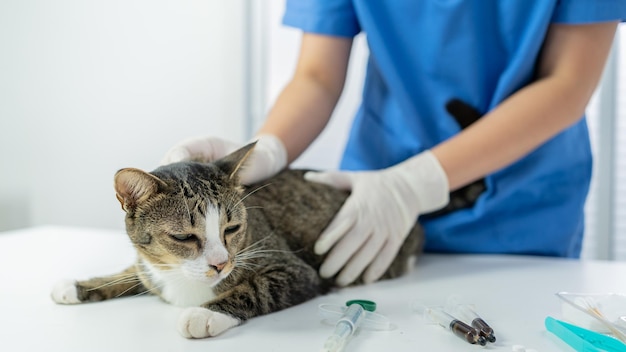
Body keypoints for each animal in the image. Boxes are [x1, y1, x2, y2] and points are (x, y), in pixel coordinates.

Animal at [51, 143, 422, 338]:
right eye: (184, 236)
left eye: (232, 229)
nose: (221, 264)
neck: (181, 280)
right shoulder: (150, 267)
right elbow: (132, 273)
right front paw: (79, 285)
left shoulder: (296, 270)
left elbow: (255, 288)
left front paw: (206, 314)